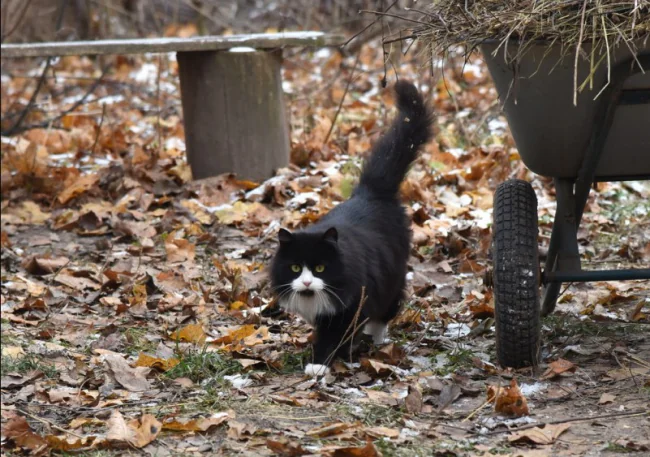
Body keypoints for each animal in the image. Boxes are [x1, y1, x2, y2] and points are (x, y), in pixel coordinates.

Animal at [268, 80, 430, 376]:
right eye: (295, 267)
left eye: (321, 268)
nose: (306, 281)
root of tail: (371, 192)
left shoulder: (350, 306)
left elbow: (333, 336)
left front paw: (320, 363)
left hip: (392, 277)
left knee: (388, 308)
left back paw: (376, 338)